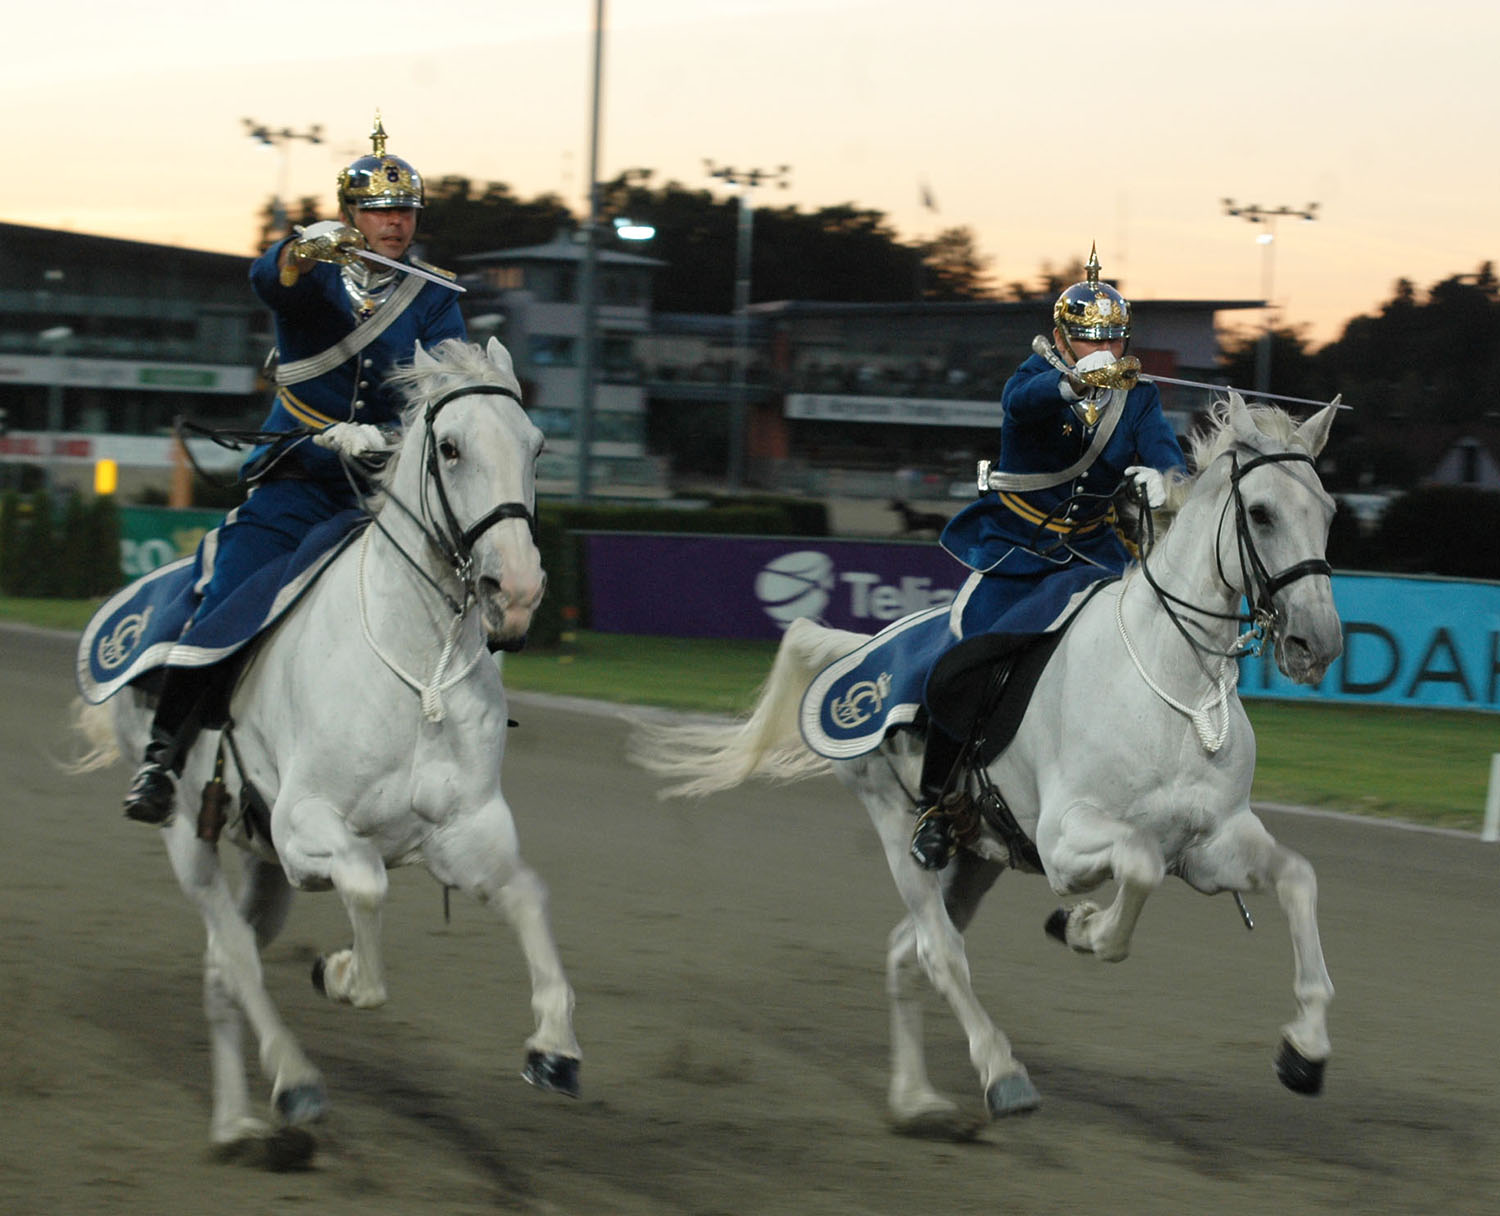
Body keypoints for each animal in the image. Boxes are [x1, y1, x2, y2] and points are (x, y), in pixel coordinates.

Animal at [74, 335, 579, 1157]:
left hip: (263, 866)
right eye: (450, 447)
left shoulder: (464, 833)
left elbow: (529, 895)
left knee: (222, 968)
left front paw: (555, 1049)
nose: (519, 590)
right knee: (234, 955)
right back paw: (293, 1082)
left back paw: (234, 1120)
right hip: (191, 839)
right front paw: (340, 974)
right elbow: (368, 889)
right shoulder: (306, 826)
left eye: (536, 446)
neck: (419, 672)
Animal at [639, 395, 1344, 1139]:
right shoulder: (1068, 842)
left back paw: (914, 1100)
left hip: (976, 857)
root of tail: (863, 650)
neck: (1172, 685)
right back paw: (1001, 1075)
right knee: (939, 951)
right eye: (1261, 513)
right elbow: (1140, 866)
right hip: (899, 828)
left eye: (1327, 511)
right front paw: (1082, 926)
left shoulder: (1211, 846)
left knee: (908, 950)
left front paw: (1304, 1051)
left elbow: (1298, 878)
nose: (1318, 644)